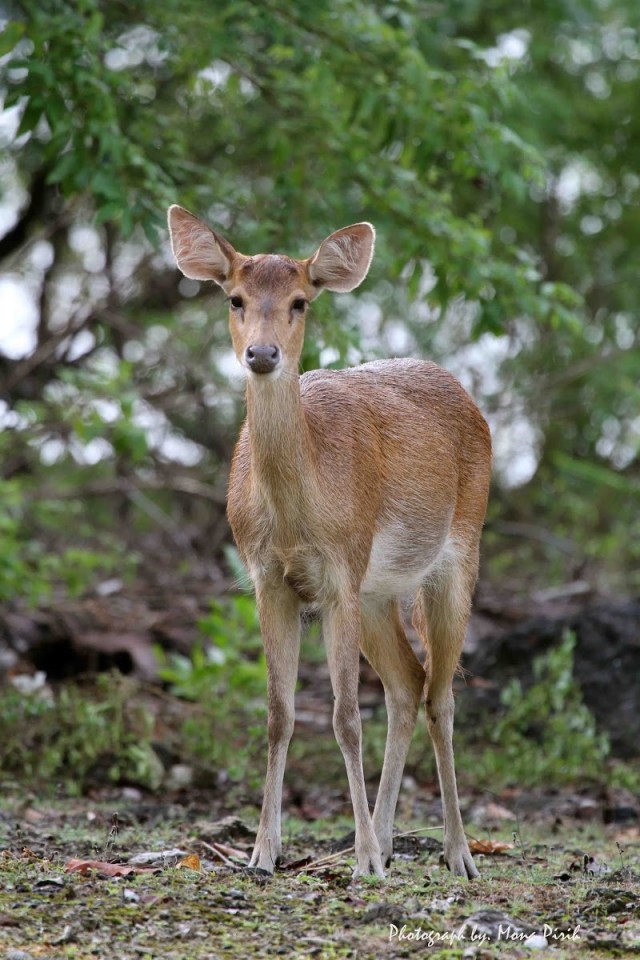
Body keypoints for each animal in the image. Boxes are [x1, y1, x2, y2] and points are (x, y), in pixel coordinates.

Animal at [167, 205, 492, 881]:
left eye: (300, 301)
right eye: (235, 298)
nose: (262, 353)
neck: (299, 518)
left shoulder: (342, 569)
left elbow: (344, 717)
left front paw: (362, 859)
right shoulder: (270, 579)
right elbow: (278, 713)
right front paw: (263, 852)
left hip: (458, 552)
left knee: (443, 694)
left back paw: (457, 853)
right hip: (376, 593)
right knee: (408, 684)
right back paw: (392, 839)